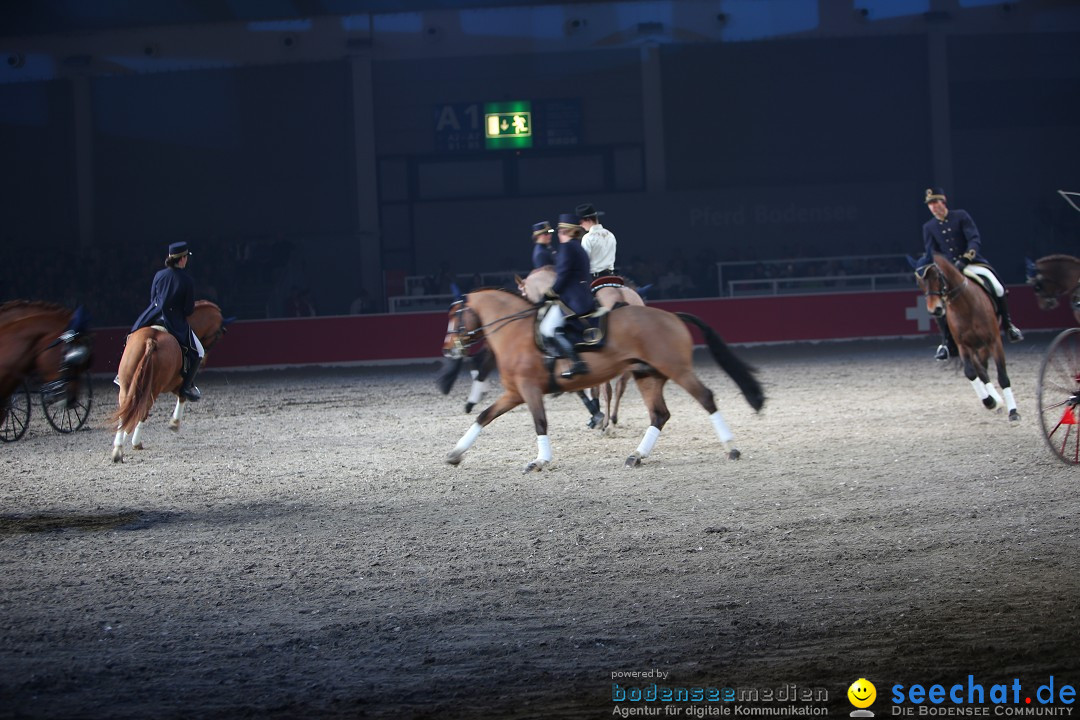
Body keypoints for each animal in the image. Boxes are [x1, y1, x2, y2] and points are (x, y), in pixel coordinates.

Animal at [110, 302, 231, 464]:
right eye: (217, 336)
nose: (204, 360)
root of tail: (151, 341)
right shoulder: (177, 383)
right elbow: (183, 395)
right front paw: (175, 423)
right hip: (153, 388)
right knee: (142, 412)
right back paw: (133, 444)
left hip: (127, 385)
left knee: (125, 412)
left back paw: (118, 448)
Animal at [436, 287, 760, 472]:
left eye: (455, 317)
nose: (449, 348)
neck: (515, 332)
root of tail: (672, 316)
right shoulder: (514, 393)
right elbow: (483, 417)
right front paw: (455, 454)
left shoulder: (529, 391)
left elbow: (540, 423)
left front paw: (541, 461)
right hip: (648, 376)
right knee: (659, 414)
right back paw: (636, 456)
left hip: (677, 369)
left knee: (706, 398)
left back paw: (731, 448)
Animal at [518, 266, 643, 431]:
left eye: (524, 294)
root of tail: (620, 295)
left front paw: (596, 416)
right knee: (620, 386)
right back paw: (613, 418)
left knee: (608, 390)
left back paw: (606, 423)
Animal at [911, 254, 1019, 418]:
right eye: (919, 282)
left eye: (937, 276)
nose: (935, 310)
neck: (965, 306)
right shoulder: (963, 345)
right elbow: (970, 372)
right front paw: (989, 401)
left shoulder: (994, 341)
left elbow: (1002, 376)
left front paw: (1013, 412)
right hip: (974, 346)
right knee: (981, 371)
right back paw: (996, 401)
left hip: (983, 345)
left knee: (984, 367)